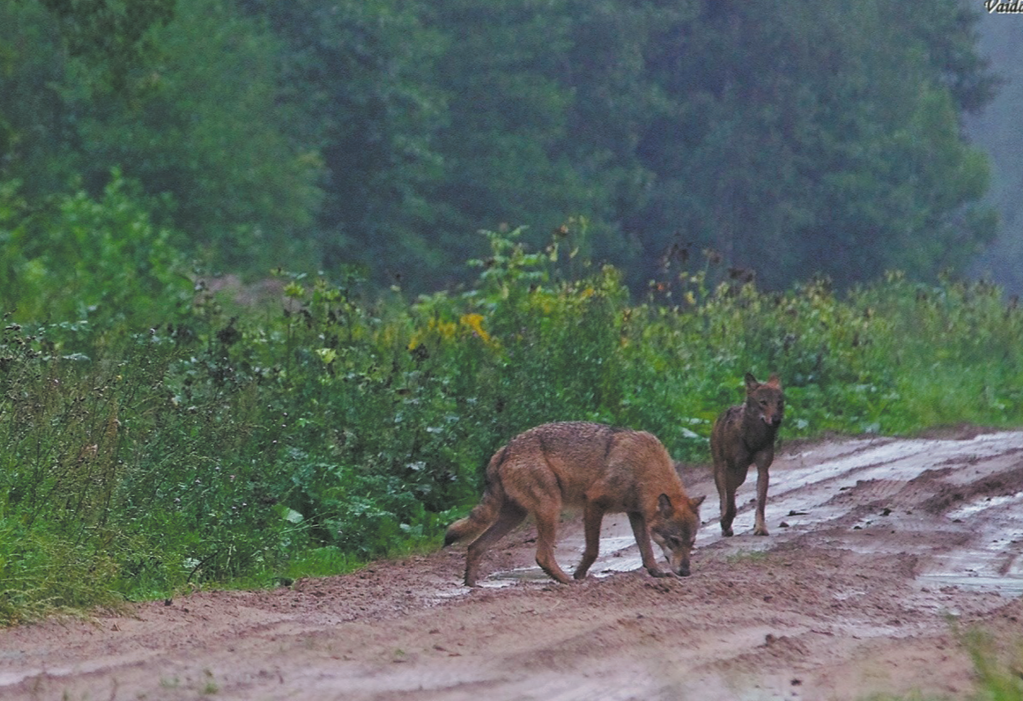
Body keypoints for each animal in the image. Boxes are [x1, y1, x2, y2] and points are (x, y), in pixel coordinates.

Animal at [443, 421, 707, 585]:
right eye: (674, 540)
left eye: (691, 542)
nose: (686, 572)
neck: (643, 468)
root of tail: (505, 449)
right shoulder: (593, 504)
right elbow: (592, 550)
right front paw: (580, 575)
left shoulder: (636, 514)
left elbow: (647, 552)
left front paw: (657, 574)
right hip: (550, 509)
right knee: (542, 556)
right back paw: (566, 581)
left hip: (515, 517)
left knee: (475, 546)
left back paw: (471, 586)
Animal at [712, 372, 781, 536]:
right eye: (763, 402)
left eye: (779, 402)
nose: (776, 420)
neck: (753, 437)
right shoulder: (731, 468)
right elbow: (731, 504)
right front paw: (725, 523)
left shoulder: (763, 468)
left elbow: (760, 503)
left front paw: (760, 528)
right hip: (723, 469)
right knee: (724, 497)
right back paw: (726, 526)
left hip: (741, 472)